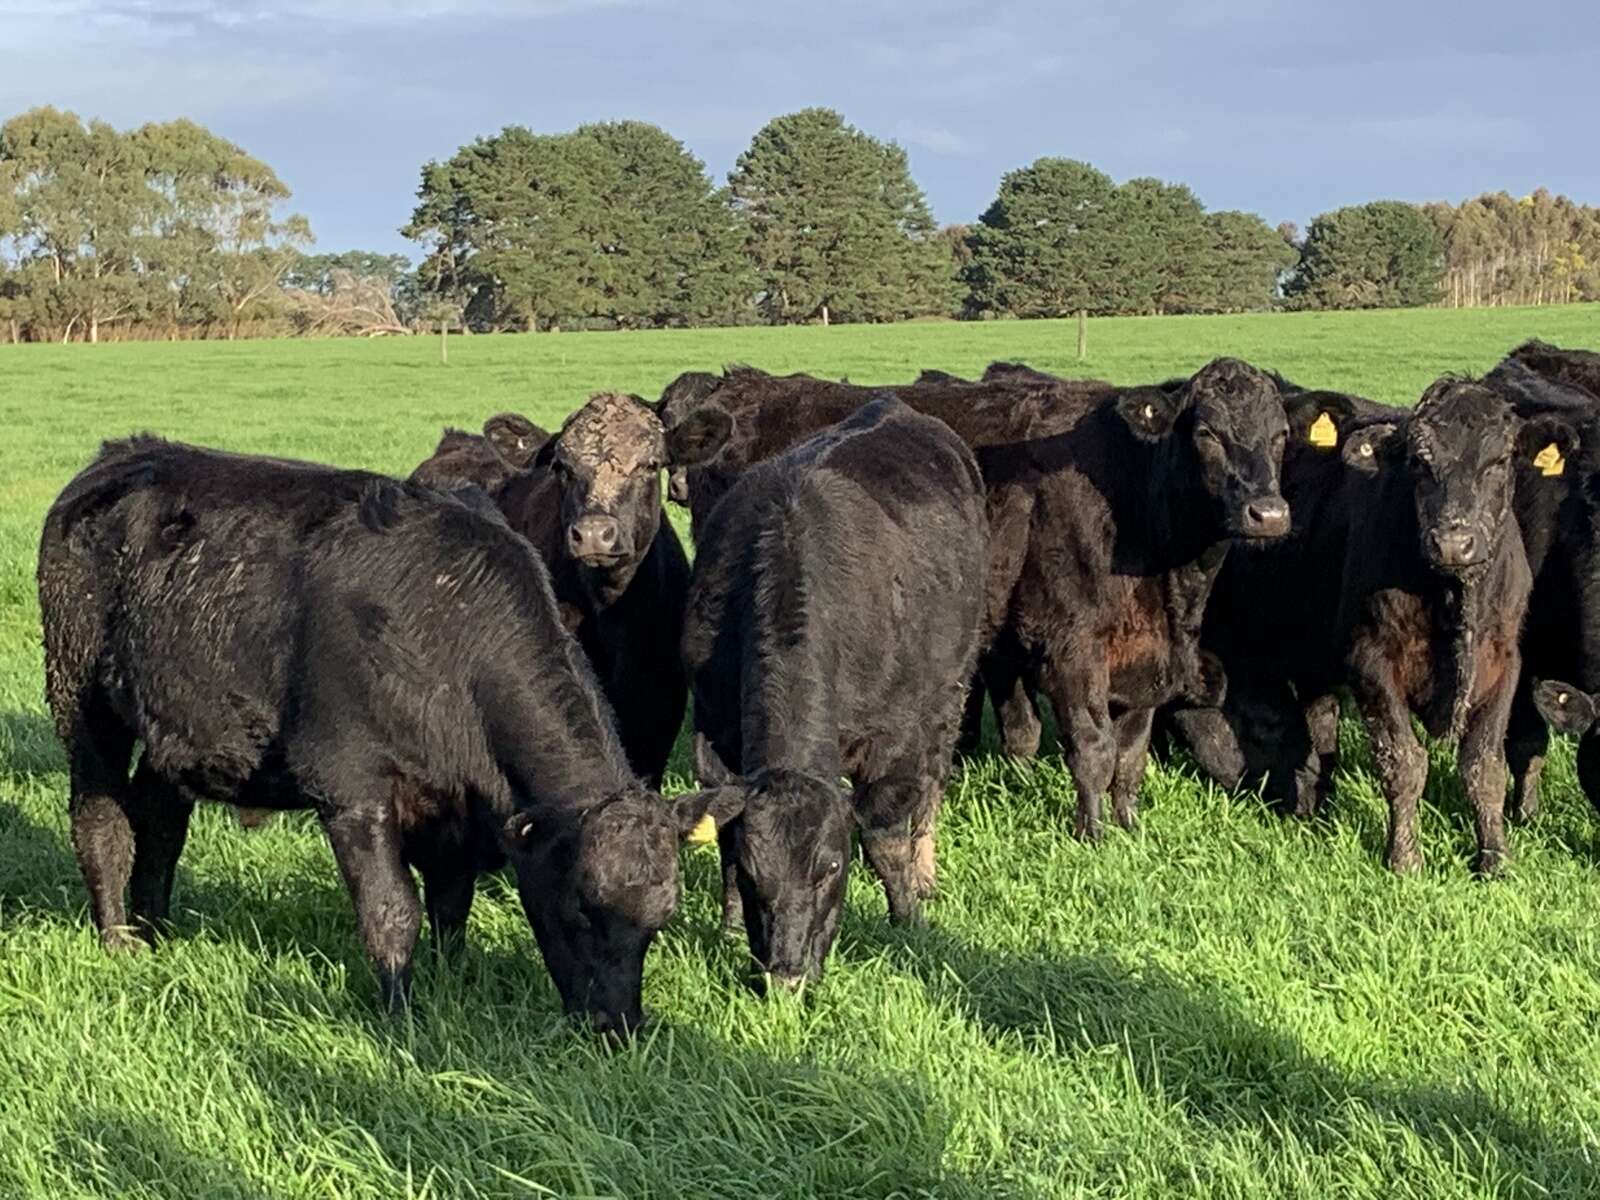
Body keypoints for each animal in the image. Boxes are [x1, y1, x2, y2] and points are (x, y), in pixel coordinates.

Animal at [38, 437, 713, 1032]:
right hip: (81, 698)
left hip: (177, 727)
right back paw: (118, 939)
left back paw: (158, 933)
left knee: (159, 823)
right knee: (101, 822)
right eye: (578, 909)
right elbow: (392, 912)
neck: (444, 625)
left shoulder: (452, 809)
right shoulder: (352, 789)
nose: (618, 1026)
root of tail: (126, 454)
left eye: (659, 922)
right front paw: (400, 1017)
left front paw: (450, 983)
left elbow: (451, 907)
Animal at [678, 395, 987, 988]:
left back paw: (925, 869)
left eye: (831, 869)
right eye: (755, 873)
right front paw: (728, 928)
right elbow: (724, 834)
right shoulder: (714, 726)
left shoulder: (893, 737)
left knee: (932, 782)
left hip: (950, 689)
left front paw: (908, 918)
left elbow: (884, 836)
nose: (786, 976)